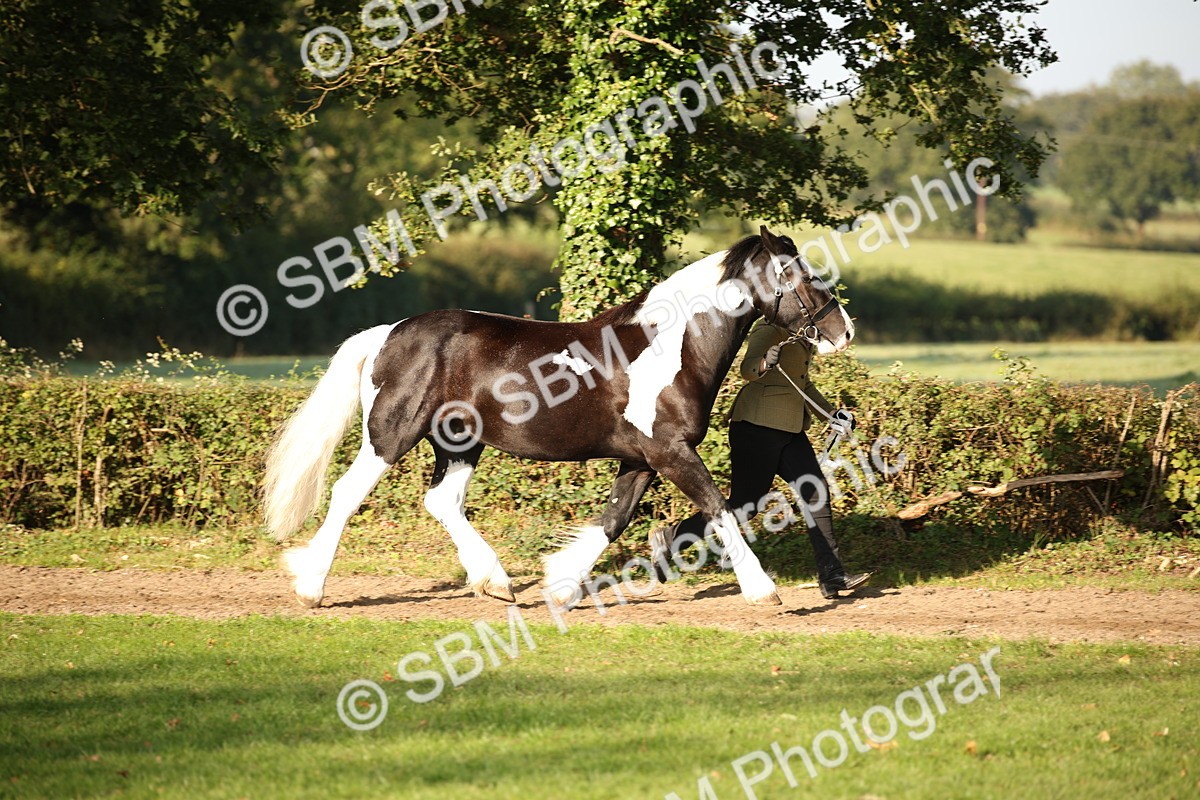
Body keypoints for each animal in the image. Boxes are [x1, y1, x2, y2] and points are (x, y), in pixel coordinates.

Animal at [263, 225, 854, 609]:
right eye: (797, 273)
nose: (841, 331)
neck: (672, 345)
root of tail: (388, 332)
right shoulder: (671, 453)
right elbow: (720, 508)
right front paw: (763, 590)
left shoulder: (642, 459)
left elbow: (614, 520)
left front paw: (562, 584)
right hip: (392, 435)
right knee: (347, 492)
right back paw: (311, 587)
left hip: (460, 443)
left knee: (442, 501)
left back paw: (496, 582)